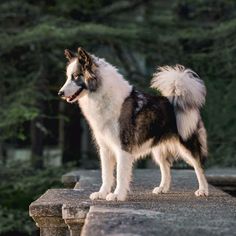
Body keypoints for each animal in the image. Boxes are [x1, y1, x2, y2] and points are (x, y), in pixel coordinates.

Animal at [58, 47, 208, 201]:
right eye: (68, 77)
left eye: (76, 76)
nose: (60, 93)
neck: (102, 95)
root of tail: (179, 100)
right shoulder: (105, 148)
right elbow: (106, 175)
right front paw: (102, 193)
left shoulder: (123, 147)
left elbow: (120, 174)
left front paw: (117, 195)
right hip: (158, 149)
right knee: (166, 167)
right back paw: (162, 188)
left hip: (187, 144)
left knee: (199, 166)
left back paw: (203, 190)